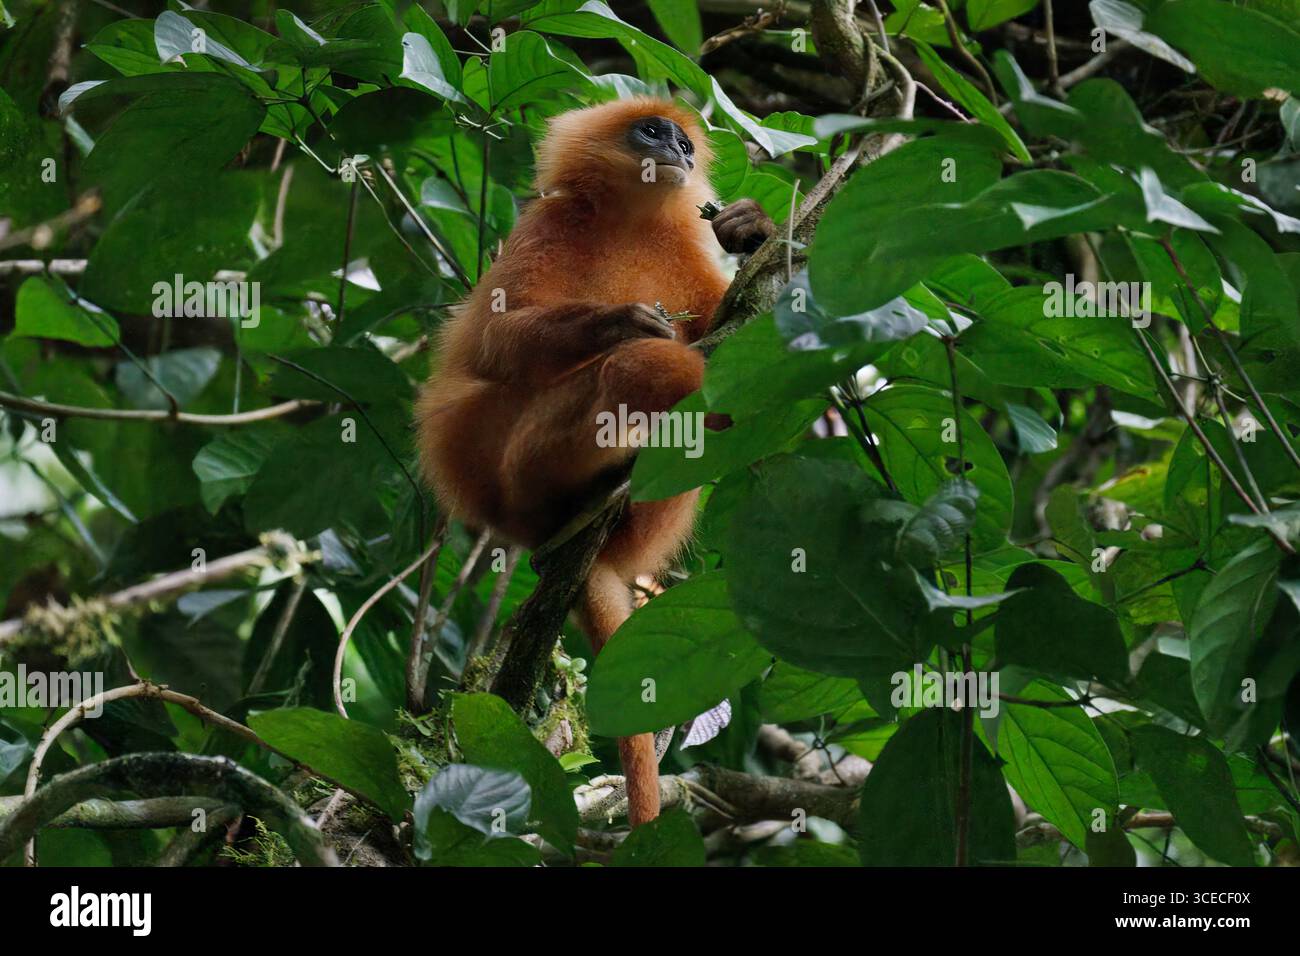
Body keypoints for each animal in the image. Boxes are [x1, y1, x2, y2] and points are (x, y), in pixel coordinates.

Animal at [416, 97, 774, 827]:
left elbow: (734, 342)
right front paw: (622, 321)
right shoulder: (546, 226)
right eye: (651, 130)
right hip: (517, 469)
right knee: (636, 369)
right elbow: (494, 341)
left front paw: (752, 230)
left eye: (682, 140)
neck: (628, 220)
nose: (678, 151)